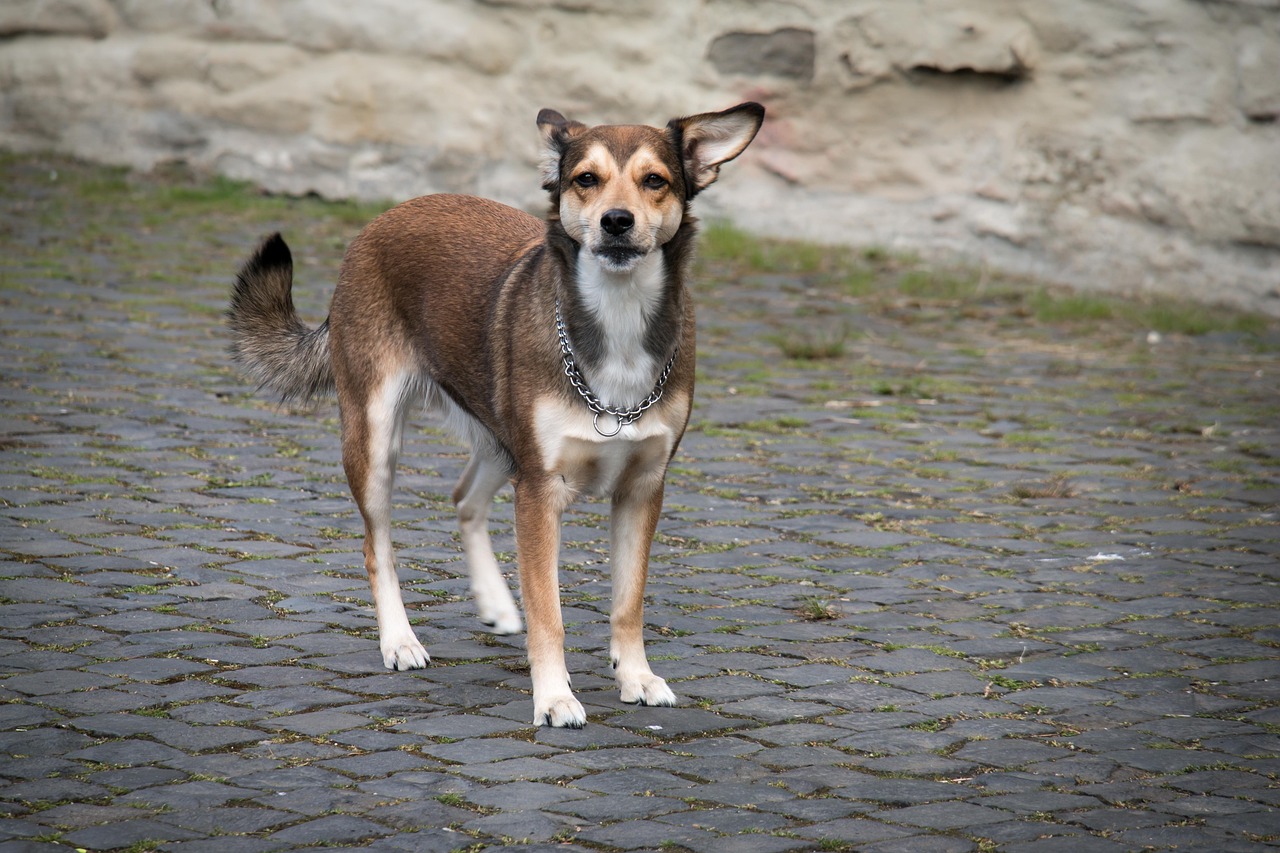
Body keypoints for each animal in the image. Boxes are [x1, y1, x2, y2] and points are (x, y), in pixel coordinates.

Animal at [226, 101, 762, 722]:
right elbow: (549, 613)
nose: (617, 221)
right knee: (376, 545)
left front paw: (636, 677)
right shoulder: (540, 490)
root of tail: (385, 217)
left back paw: (497, 604)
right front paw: (554, 697)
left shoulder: (643, 487)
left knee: (463, 499)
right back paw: (400, 641)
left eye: (655, 181)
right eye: (586, 179)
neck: (617, 322)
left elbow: (628, 603)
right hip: (378, 438)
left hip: (502, 443)